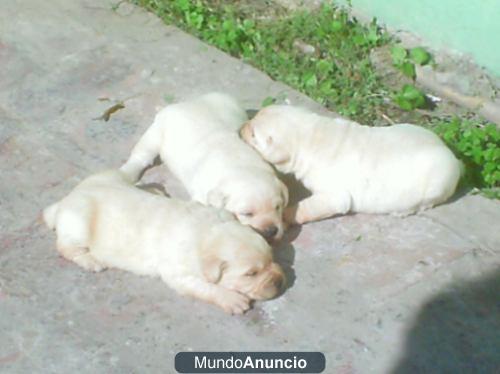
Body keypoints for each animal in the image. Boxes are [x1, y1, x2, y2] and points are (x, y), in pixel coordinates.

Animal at [43, 171, 286, 314]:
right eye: (251, 274)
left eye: (271, 259)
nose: (281, 281)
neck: (207, 232)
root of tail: (65, 200)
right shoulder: (178, 274)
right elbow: (205, 287)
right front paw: (232, 299)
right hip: (79, 223)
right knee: (66, 247)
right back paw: (91, 261)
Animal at [119, 93, 290, 243]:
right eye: (247, 214)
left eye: (278, 207)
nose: (271, 231)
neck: (241, 166)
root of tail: (184, 104)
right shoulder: (203, 196)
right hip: (155, 134)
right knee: (141, 155)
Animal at [240, 103, 462, 224]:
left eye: (253, 134)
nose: (241, 127)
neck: (311, 134)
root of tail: (455, 159)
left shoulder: (334, 194)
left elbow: (316, 204)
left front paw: (287, 214)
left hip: (438, 182)